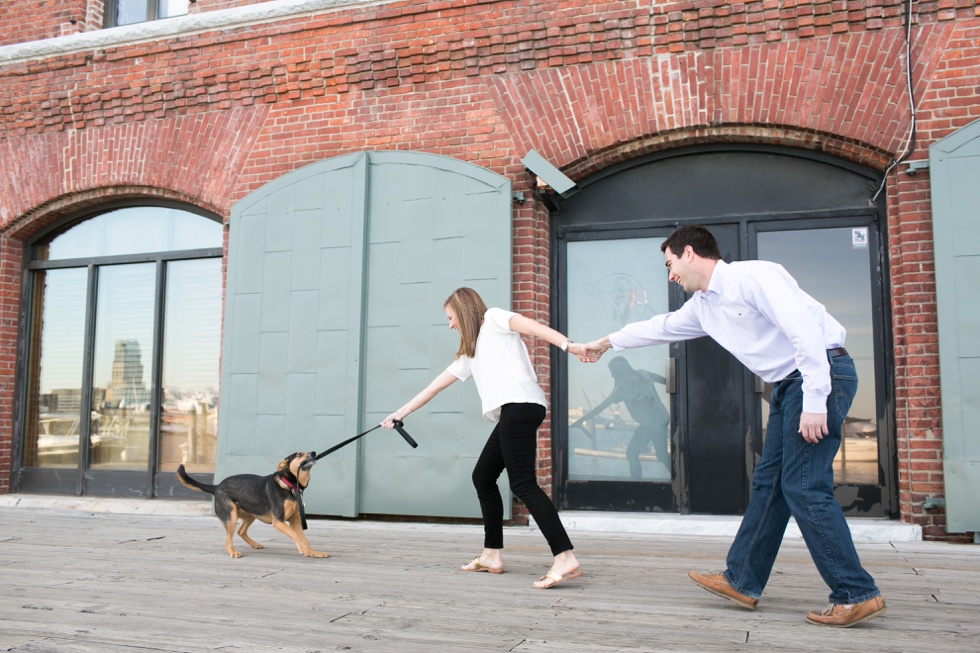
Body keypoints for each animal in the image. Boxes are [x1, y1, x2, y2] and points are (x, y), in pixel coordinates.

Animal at [177, 450, 330, 556]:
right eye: (299, 454)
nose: (314, 452)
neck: (289, 485)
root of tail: (216, 487)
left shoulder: (295, 522)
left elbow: (304, 538)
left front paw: (313, 552)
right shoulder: (278, 522)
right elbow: (297, 536)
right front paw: (303, 549)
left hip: (251, 514)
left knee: (241, 531)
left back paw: (254, 544)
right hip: (231, 517)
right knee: (228, 540)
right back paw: (233, 552)